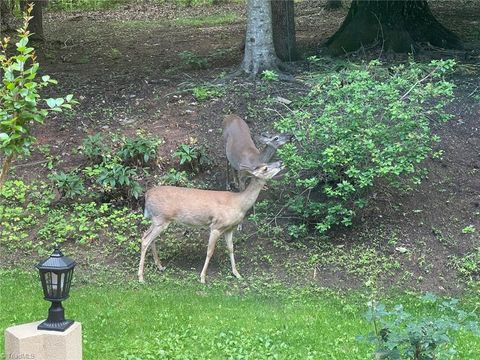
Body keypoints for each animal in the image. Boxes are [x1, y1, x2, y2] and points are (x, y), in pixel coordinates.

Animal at [137, 161, 284, 284]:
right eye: (265, 168)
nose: (280, 162)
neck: (239, 204)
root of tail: (147, 195)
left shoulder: (229, 228)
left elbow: (231, 248)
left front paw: (237, 274)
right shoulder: (216, 226)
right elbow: (209, 251)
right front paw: (202, 278)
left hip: (157, 220)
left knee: (148, 236)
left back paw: (160, 266)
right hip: (161, 219)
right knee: (145, 239)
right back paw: (141, 277)